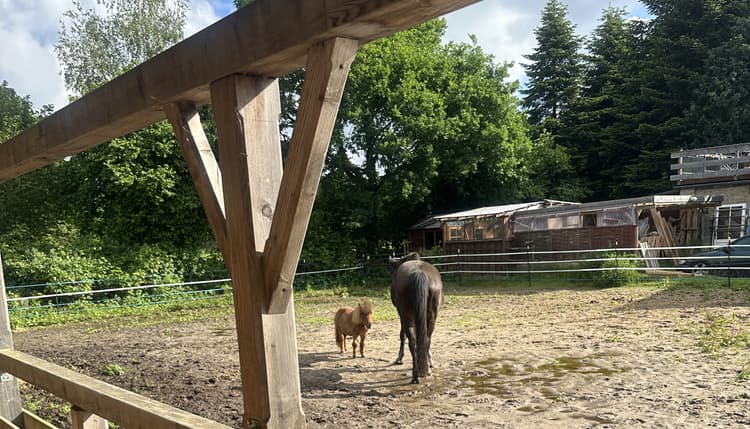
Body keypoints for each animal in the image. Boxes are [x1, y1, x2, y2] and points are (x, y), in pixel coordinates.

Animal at [388, 252, 443, 384]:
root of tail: (420, 274)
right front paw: (429, 361)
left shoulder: (402, 315)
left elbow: (402, 334)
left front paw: (399, 357)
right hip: (431, 316)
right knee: (426, 339)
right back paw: (424, 369)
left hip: (406, 316)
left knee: (412, 342)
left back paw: (415, 375)